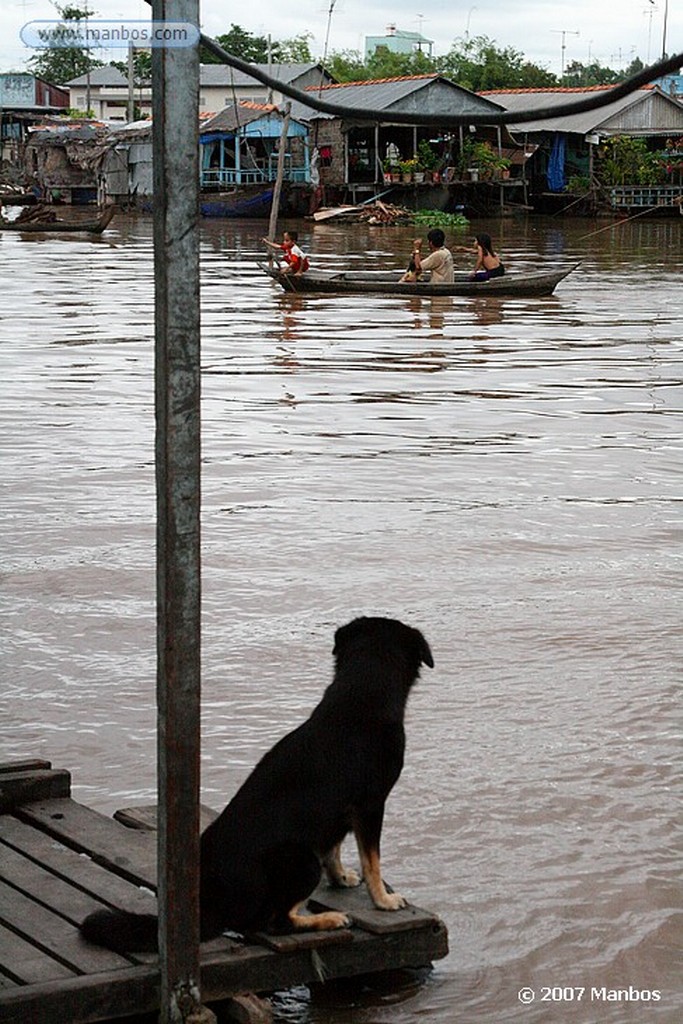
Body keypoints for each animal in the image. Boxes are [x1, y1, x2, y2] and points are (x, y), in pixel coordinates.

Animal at [80, 614, 432, 950]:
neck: (361, 698)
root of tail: (208, 905)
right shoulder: (371, 806)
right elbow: (372, 861)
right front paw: (383, 900)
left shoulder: (338, 814)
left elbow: (333, 847)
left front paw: (341, 876)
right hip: (302, 860)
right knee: (275, 922)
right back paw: (327, 920)